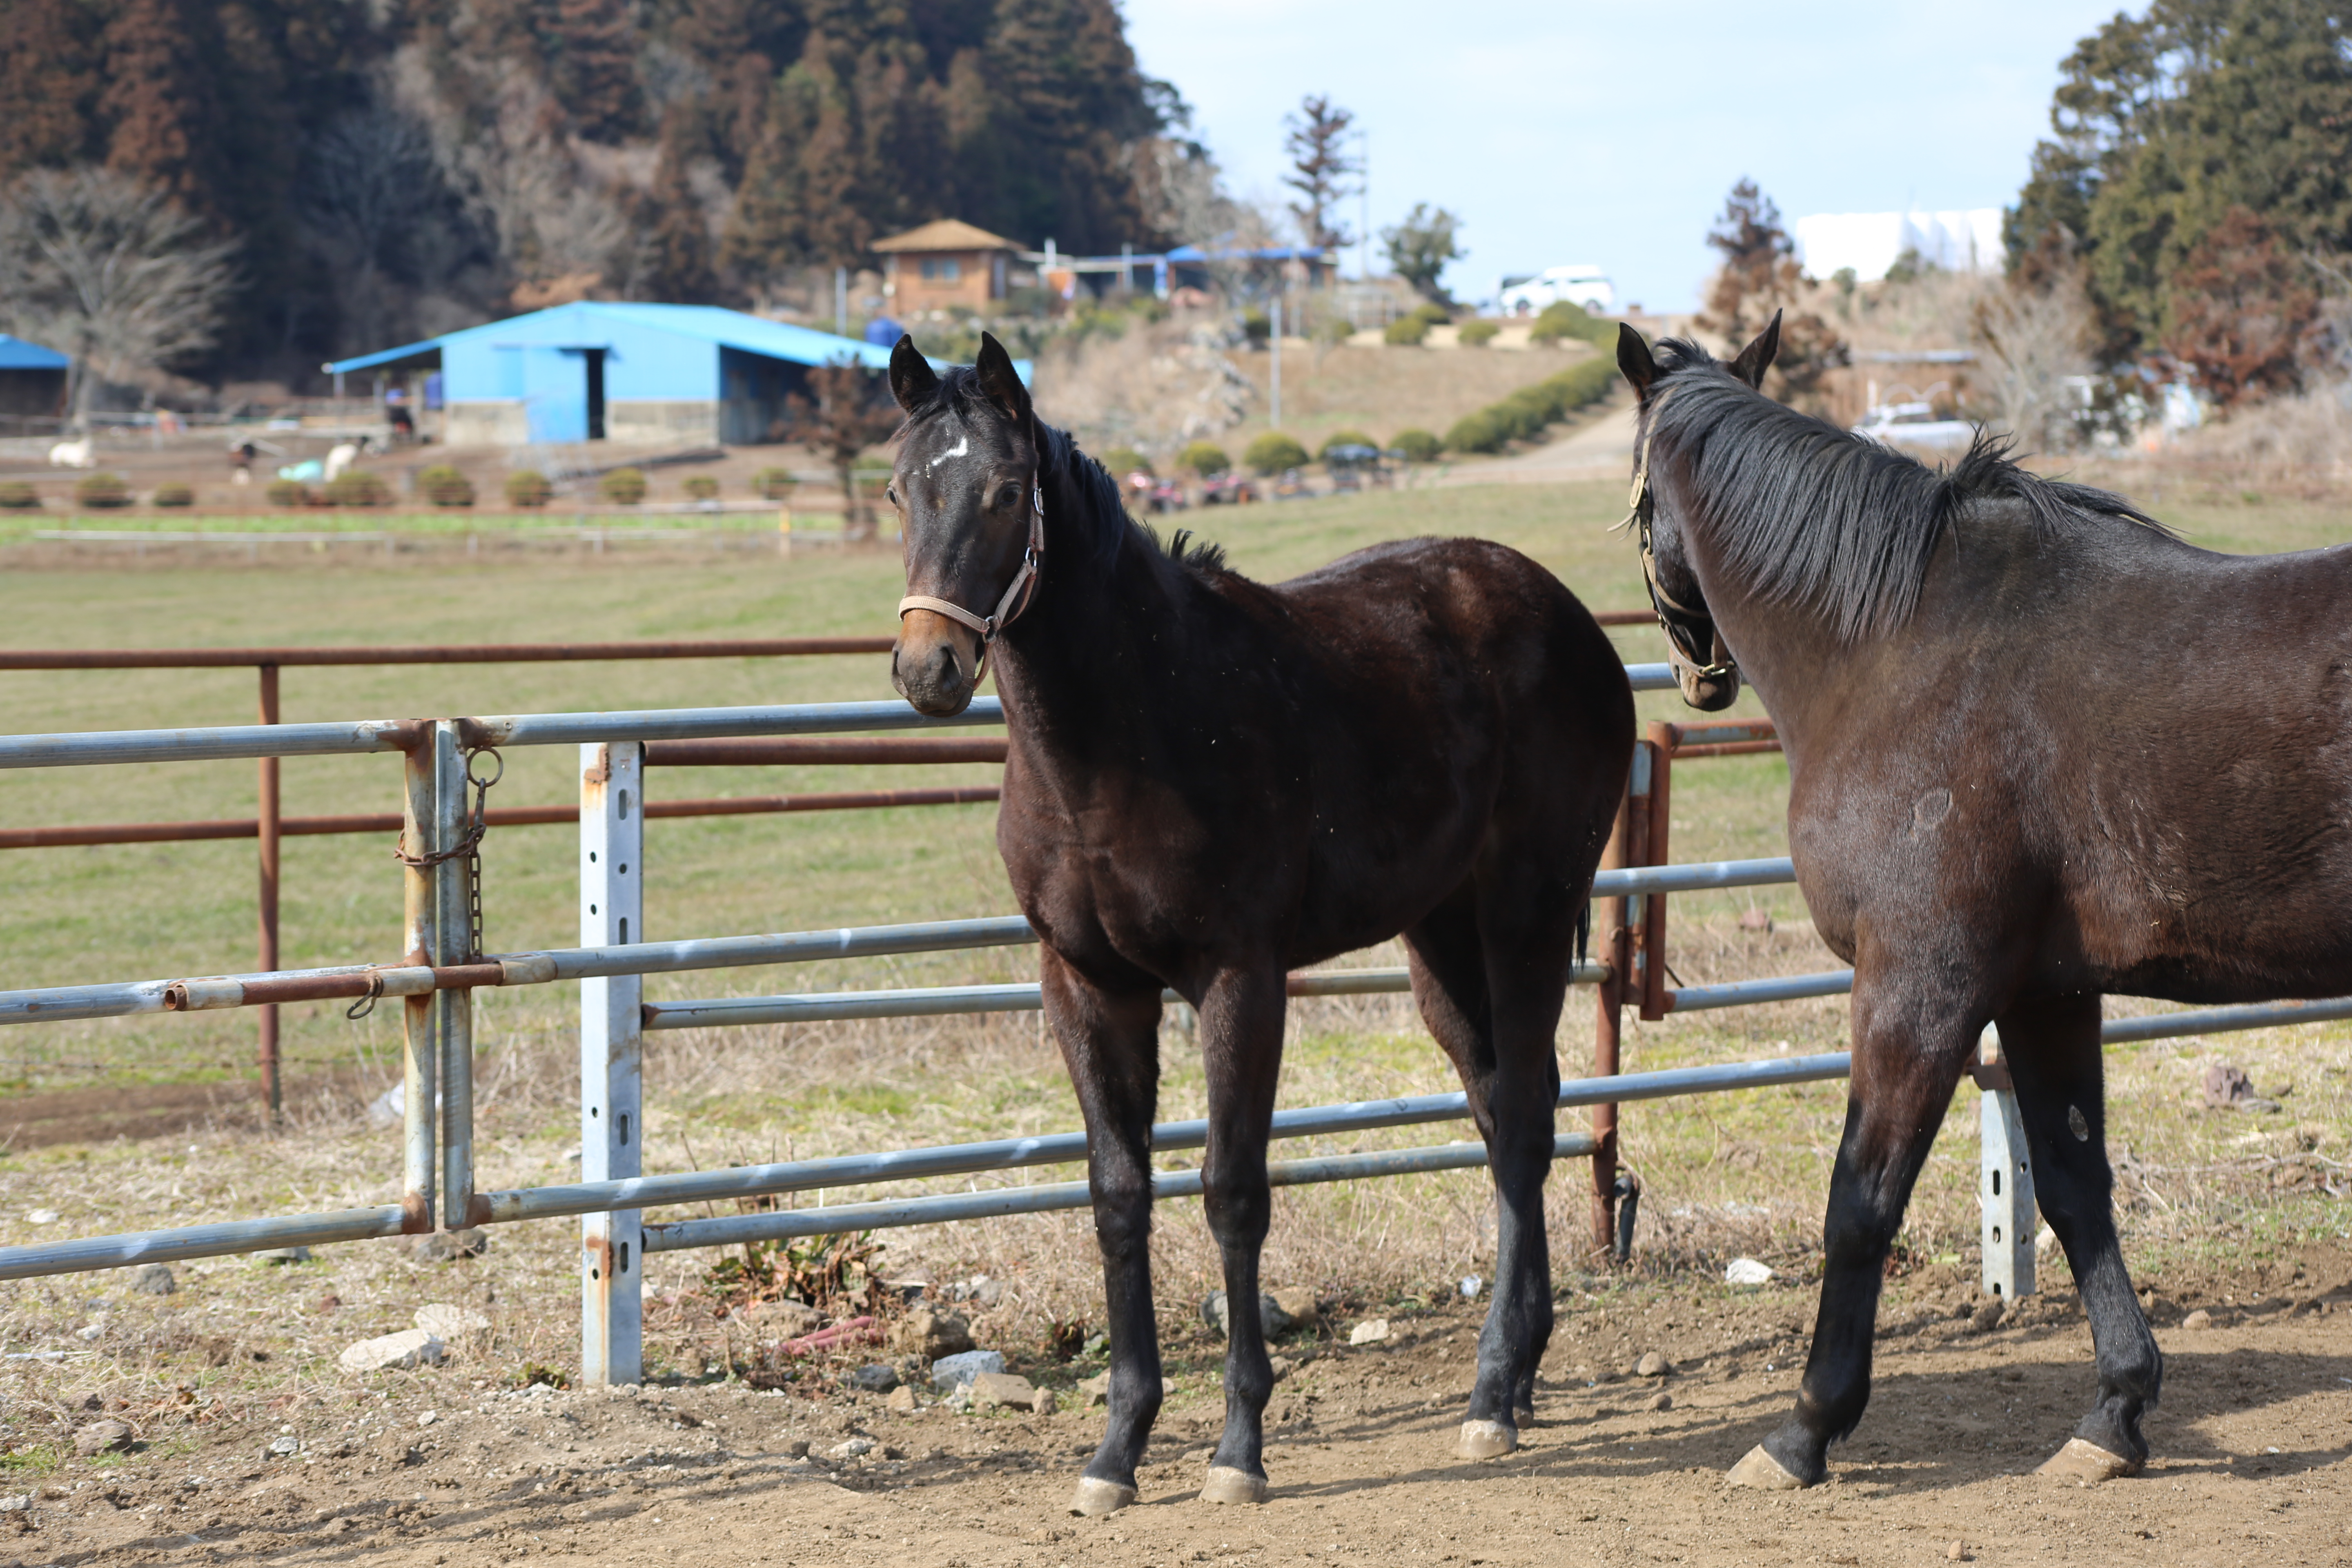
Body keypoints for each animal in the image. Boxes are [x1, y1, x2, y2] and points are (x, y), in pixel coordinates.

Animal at [884, 339, 1637, 1514]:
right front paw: (1116, 1452)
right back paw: (1517, 1376)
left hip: (1527, 910)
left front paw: (1238, 1448)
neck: (1137, 723)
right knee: (1501, 1106)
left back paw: (1490, 1395)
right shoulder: (1087, 984)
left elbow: (1232, 1191)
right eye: (898, 491)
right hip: (1440, 938)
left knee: (1519, 1121)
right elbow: (1119, 1196)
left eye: (1006, 492)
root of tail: (1568, 619)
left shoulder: (1240, 976)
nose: (930, 670)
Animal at [1618, 312, 2352, 1495]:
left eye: (1641, 503)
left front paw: (1804, 1428)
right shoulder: (2044, 991)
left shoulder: (1919, 985)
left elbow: (1861, 1201)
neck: (1900, 641)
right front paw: (2115, 1411)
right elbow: (2073, 1185)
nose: (1700, 677)